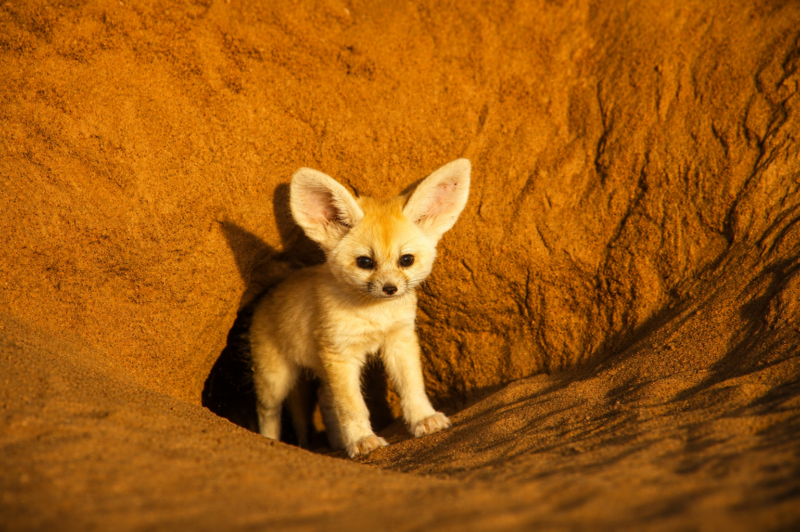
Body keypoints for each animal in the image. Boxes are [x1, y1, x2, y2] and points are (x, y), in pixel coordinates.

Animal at [249, 158, 471, 458]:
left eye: (406, 260)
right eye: (365, 262)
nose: (390, 289)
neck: (374, 316)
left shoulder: (399, 340)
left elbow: (412, 387)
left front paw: (423, 419)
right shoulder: (340, 355)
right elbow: (352, 407)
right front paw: (362, 440)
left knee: (325, 402)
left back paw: (336, 444)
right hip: (275, 380)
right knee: (268, 411)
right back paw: (270, 442)